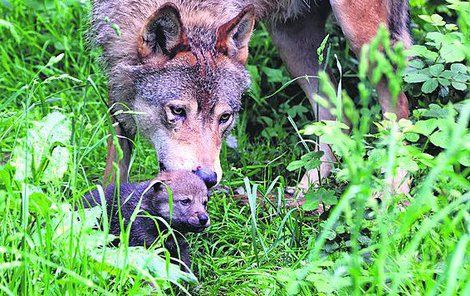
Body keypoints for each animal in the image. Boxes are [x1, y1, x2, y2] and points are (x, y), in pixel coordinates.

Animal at [90, 0, 410, 190]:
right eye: (178, 111)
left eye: (225, 117)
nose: (208, 179)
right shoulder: (116, 81)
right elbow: (115, 164)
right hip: (290, 43)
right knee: (338, 113)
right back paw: (303, 196)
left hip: (361, 39)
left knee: (400, 106)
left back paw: (395, 194)